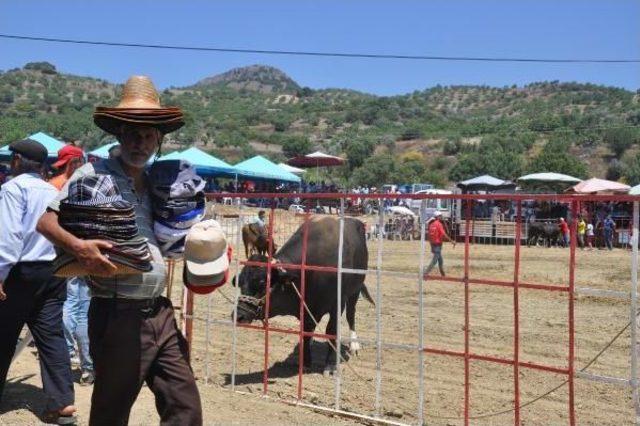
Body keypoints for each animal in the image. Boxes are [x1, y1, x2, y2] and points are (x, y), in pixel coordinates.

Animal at [231, 216, 372, 372]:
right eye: (240, 282)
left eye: (262, 283)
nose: (238, 315)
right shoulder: (305, 307)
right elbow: (306, 330)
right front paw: (305, 361)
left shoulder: (337, 303)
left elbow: (331, 330)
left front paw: (330, 364)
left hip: (355, 290)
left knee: (351, 315)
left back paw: (354, 345)